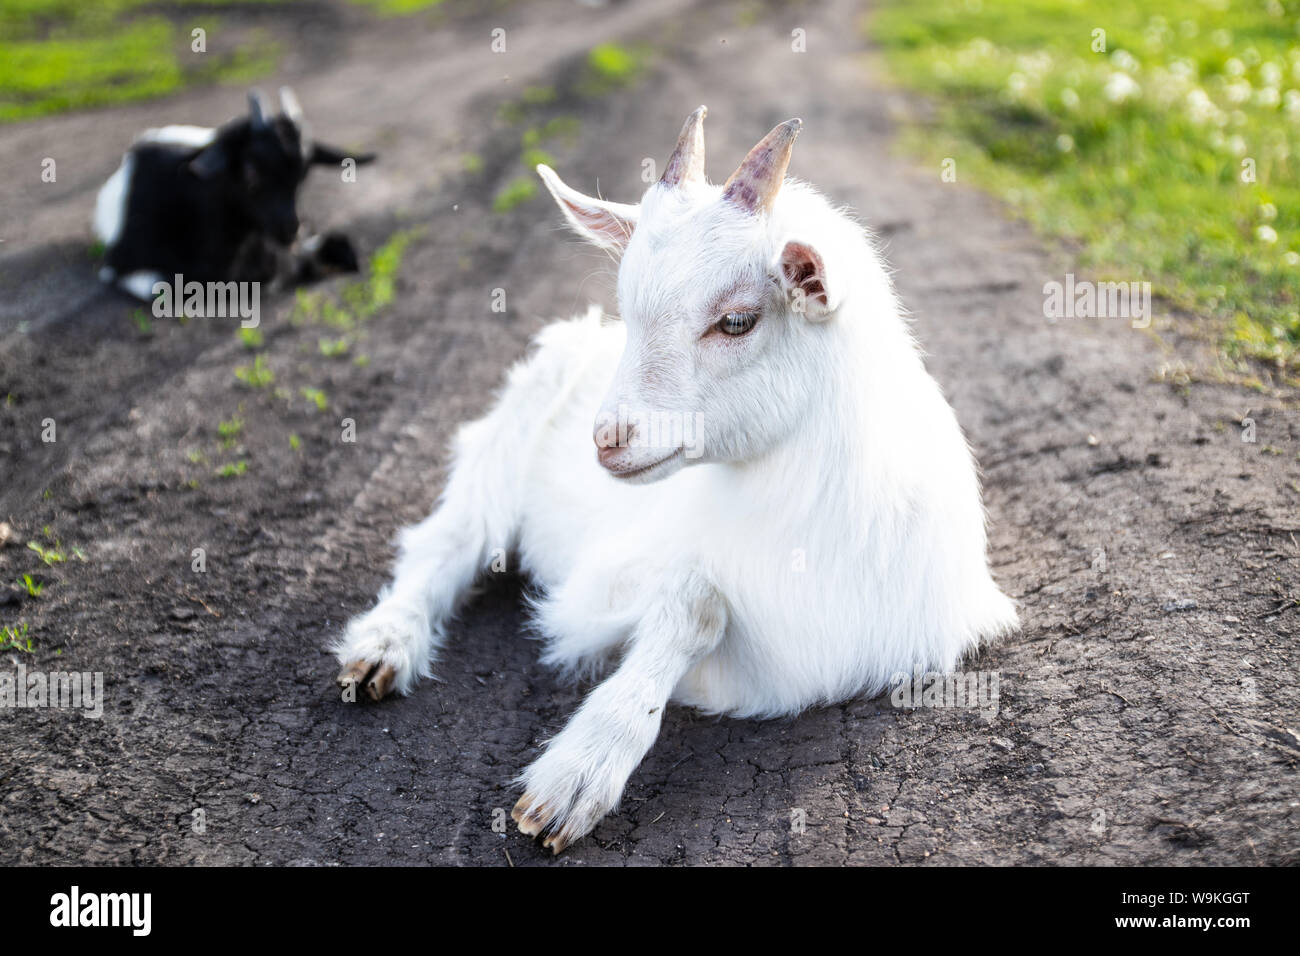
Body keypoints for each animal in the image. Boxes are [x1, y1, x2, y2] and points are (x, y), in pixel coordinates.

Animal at [332, 107, 1019, 853]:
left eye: (737, 320)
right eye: (628, 307)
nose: (607, 438)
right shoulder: (599, 587)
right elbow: (697, 605)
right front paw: (578, 775)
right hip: (501, 448)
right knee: (446, 542)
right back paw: (382, 646)